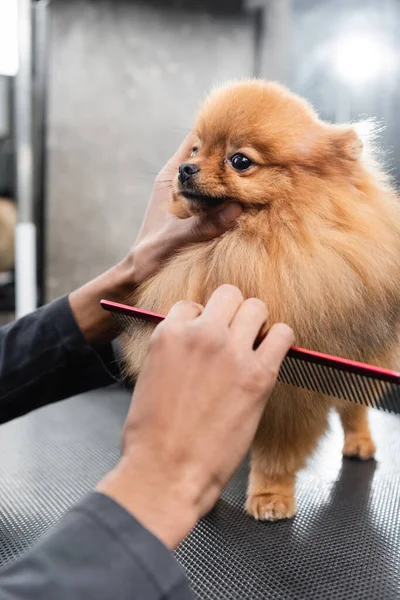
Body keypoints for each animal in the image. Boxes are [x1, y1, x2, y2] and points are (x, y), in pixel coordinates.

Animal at [123, 79, 400, 520]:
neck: (242, 243)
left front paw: (270, 496)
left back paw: (360, 442)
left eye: (240, 160)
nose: (184, 169)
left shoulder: (290, 395)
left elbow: (277, 453)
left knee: (354, 407)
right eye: (196, 150)